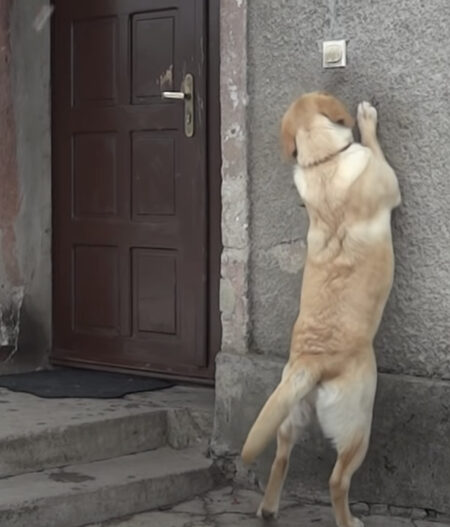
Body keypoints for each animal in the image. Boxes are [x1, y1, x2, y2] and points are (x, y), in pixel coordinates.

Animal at [241, 92, 401, 527]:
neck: (324, 163)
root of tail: (311, 363)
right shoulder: (388, 181)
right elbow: (375, 148)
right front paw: (367, 119)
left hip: (286, 415)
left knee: (280, 457)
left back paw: (268, 508)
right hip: (359, 423)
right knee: (337, 481)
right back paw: (349, 520)